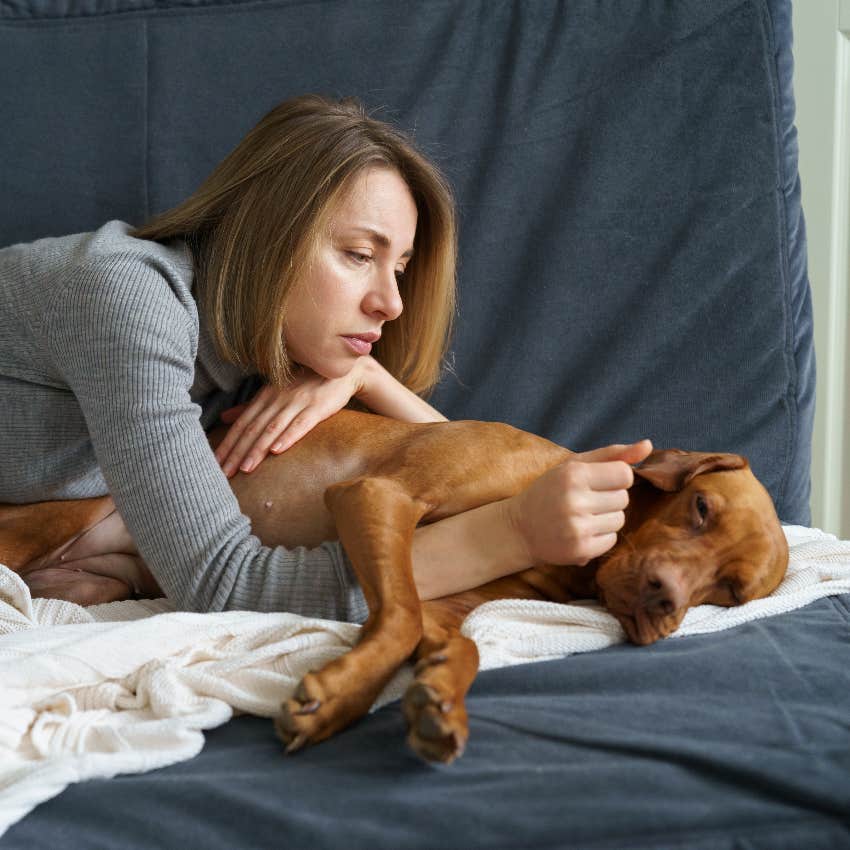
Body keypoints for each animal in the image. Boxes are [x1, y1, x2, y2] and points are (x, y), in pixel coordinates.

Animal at [0, 410, 784, 760]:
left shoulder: (449, 602)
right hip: (48, 523)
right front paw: (336, 697)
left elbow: (455, 643)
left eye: (730, 592)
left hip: (96, 583)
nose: (664, 600)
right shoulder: (377, 496)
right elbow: (399, 616)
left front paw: (436, 700)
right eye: (700, 508)